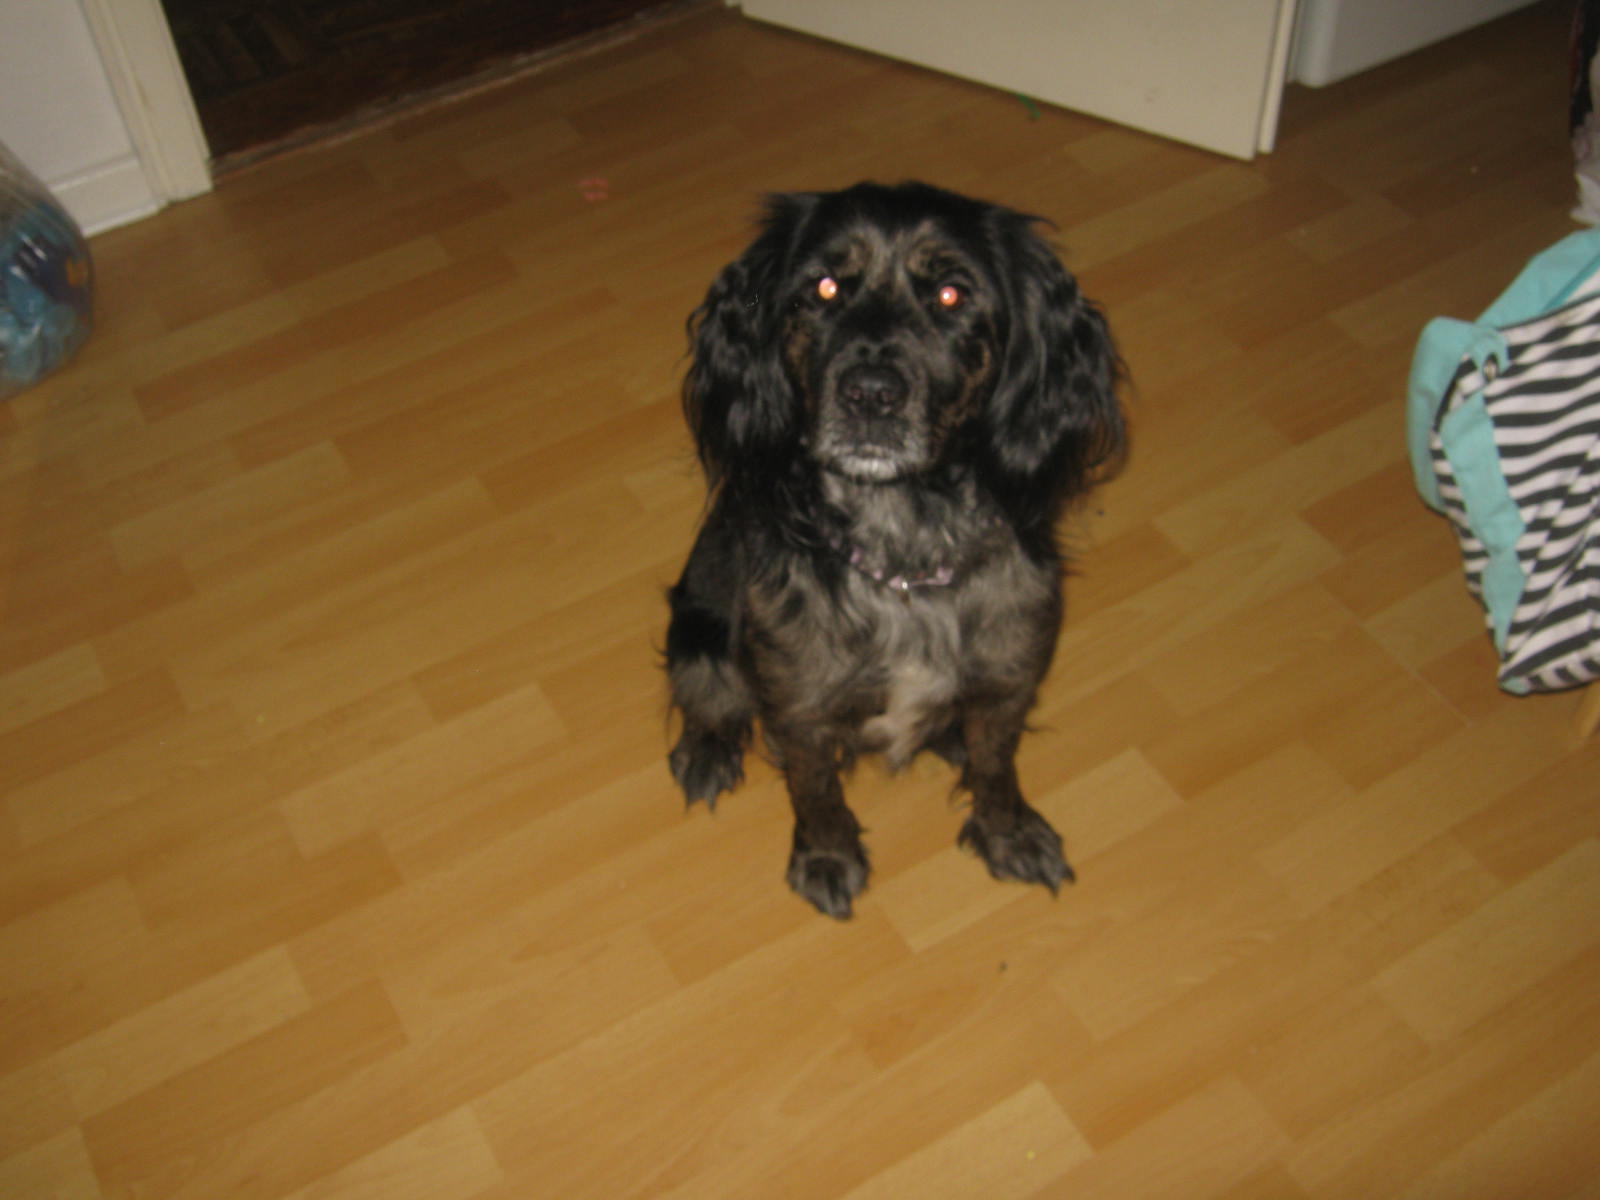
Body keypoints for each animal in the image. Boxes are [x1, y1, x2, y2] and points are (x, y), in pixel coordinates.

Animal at [662, 180, 1126, 921]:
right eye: (823, 288)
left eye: (952, 295)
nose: (871, 395)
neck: (905, 548)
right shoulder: (800, 707)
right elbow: (816, 791)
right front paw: (827, 856)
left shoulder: (1008, 678)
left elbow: (998, 766)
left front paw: (1008, 833)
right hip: (697, 617)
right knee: (708, 690)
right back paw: (707, 748)